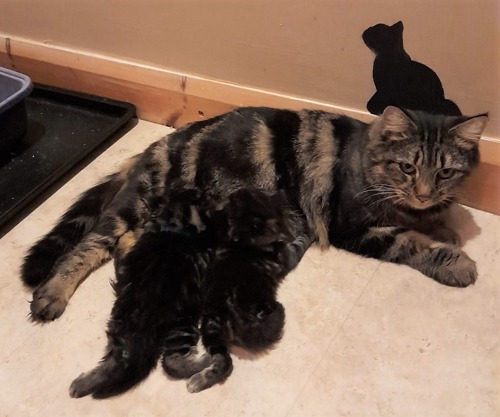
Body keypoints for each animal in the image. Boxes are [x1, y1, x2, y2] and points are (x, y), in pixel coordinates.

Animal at [21, 105, 486, 324]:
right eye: (407, 167)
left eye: (445, 172)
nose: (424, 192)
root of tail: (154, 147)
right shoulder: (353, 225)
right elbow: (411, 242)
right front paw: (455, 260)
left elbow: (432, 218)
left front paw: (445, 223)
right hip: (135, 206)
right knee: (87, 247)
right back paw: (51, 295)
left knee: (125, 243)